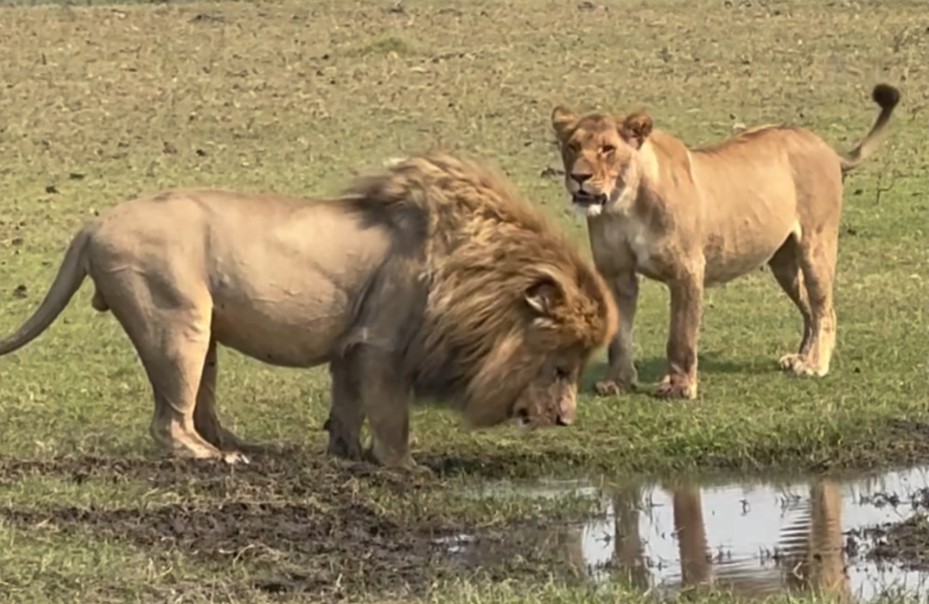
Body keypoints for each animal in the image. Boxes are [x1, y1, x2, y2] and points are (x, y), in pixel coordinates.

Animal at [0, 151, 616, 468]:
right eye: (561, 368)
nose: (566, 419)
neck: (474, 271)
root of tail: (93, 225)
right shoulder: (382, 345)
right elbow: (392, 417)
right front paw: (403, 468)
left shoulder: (351, 347)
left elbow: (347, 407)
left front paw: (344, 455)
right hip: (175, 318)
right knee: (168, 422)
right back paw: (215, 458)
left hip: (202, 330)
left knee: (199, 406)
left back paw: (237, 444)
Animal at [548, 82, 896, 398]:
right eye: (572, 147)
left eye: (607, 149)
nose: (579, 177)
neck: (624, 204)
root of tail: (824, 145)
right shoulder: (616, 274)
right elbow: (619, 336)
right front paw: (617, 382)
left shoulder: (688, 270)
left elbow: (681, 337)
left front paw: (679, 386)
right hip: (783, 264)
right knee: (810, 309)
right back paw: (800, 357)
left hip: (816, 246)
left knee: (825, 310)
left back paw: (814, 365)